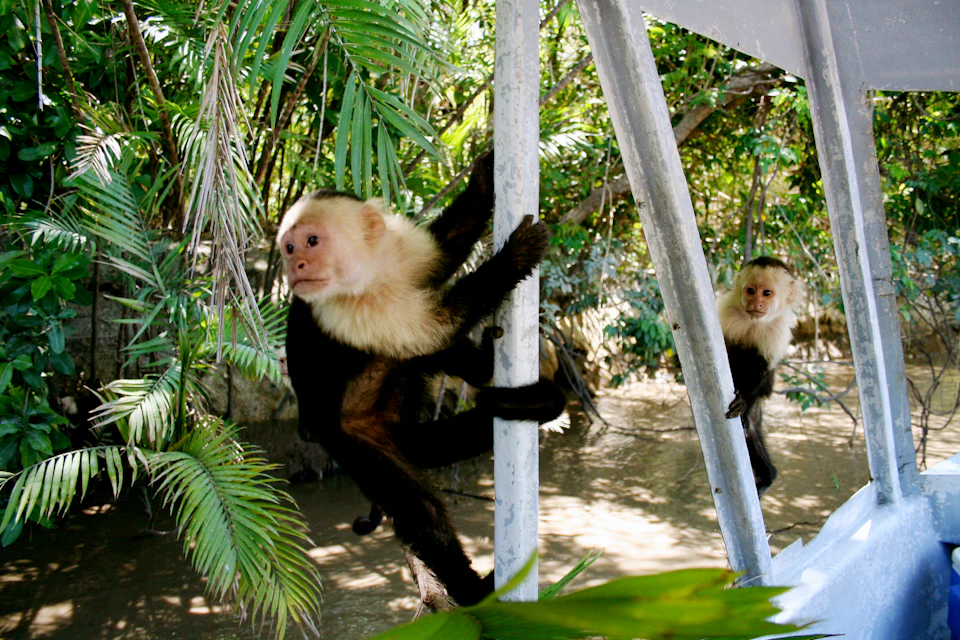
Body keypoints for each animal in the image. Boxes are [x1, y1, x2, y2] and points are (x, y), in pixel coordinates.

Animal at [279, 156, 565, 605]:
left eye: (311, 241)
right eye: (289, 249)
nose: (295, 267)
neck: (367, 272)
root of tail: (399, 430)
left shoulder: (397, 248)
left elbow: (442, 253)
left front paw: (483, 174)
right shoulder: (333, 308)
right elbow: (435, 324)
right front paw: (513, 259)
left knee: (421, 355)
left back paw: (485, 372)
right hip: (356, 441)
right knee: (421, 512)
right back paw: (473, 590)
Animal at [718, 256, 799, 495]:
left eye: (767, 293)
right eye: (751, 290)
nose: (756, 304)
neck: (753, 321)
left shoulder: (778, 329)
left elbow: (763, 367)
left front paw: (742, 400)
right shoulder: (726, 309)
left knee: (750, 426)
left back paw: (769, 476)